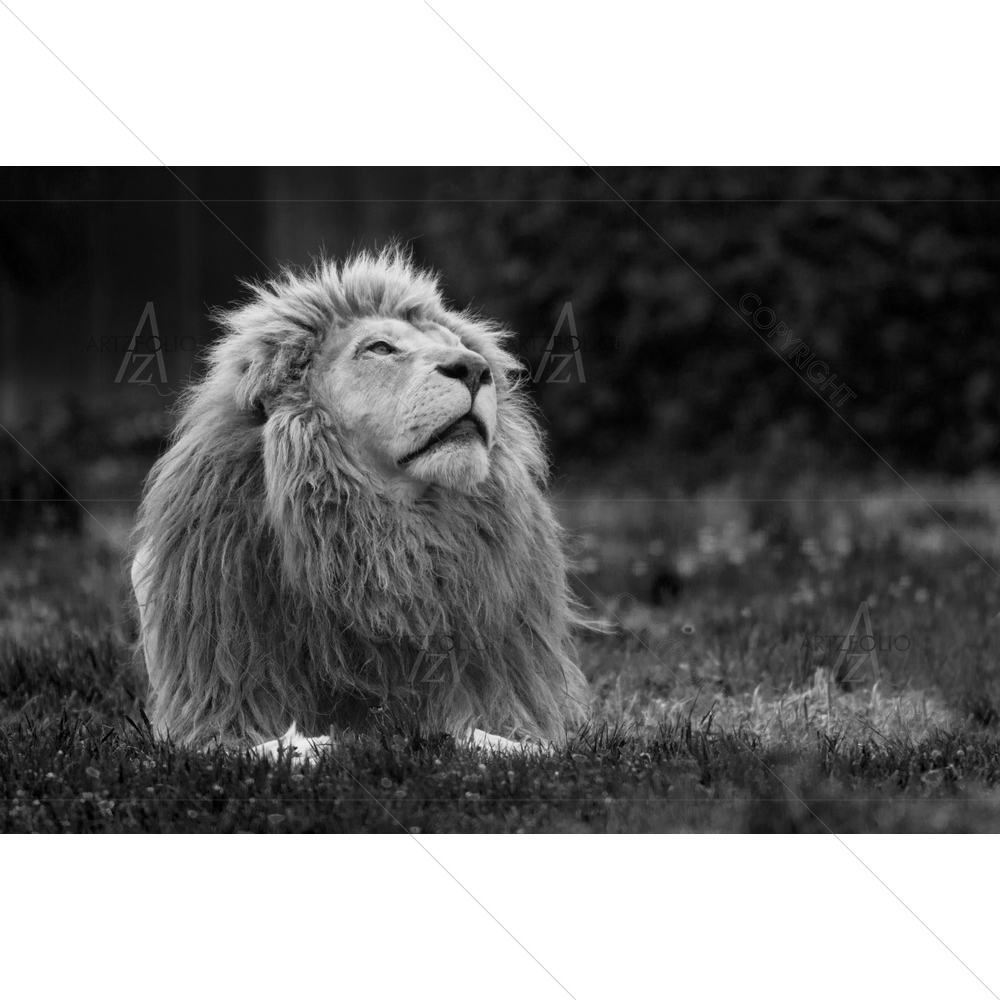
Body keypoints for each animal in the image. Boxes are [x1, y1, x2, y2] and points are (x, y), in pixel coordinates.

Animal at [130, 247, 591, 762]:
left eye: (457, 345)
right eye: (381, 349)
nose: (474, 368)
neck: (384, 534)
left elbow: (515, 738)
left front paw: (485, 742)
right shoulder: (218, 690)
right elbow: (253, 743)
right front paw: (311, 745)